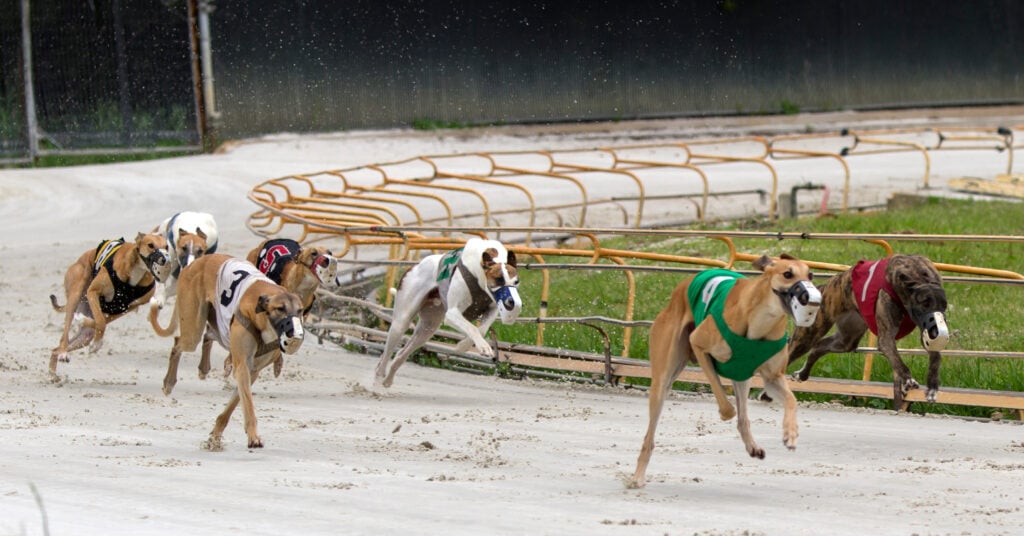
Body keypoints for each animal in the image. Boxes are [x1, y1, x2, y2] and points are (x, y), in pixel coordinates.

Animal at [48, 233, 169, 377]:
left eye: (167, 246)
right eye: (150, 245)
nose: (165, 259)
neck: (136, 272)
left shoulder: (124, 308)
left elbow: (101, 322)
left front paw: (93, 337)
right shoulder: (93, 292)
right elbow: (100, 321)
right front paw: (96, 344)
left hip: (86, 332)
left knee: (59, 346)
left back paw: (53, 373)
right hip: (76, 295)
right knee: (64, 336)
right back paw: (63, 353)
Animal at [149, 254, 305, 450]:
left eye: (300, 310)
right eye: (280, 308)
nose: (295, 333)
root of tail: (196, 262)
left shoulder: (252, 370)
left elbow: (233, 405)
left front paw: (215, 435)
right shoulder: (243, 365)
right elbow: (248, 404)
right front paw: (254, 437)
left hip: (218, 325)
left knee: (208, 335)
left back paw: (203, 367)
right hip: (193, 330)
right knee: (178, 343)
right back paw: (169, 382)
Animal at [374, 238, 520, 389]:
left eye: (516, 281)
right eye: (498, 279)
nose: (511, 302)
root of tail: (414, 267)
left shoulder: (492, 309)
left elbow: (482, 329)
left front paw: (464, 345)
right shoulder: (452, 314)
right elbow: (472, 328)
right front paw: (482, 347)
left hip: (428, 328)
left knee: (401, 353)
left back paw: (388, 380)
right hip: (401, 322)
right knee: (385, 356)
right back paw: (378, 381)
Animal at [622, 254, 823, 487]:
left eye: (810, 275)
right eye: (788, 274)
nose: (810, 297)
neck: (762, 320)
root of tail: (680, 288)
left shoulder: (773, 378)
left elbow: (791, 400)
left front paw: (790, 433)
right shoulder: (699, 345)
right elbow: (726, 406)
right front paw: (724, 412)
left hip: (742, 375)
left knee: (743, 417)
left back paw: (752, 446)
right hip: (663, 377)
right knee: (650, 435)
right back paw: (638, 476)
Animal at [786, 255, 946, 411]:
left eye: (943, 306)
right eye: (924, 304)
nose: (937, 329)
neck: (917, 275)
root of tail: (824, 287)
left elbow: (935, 356)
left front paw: (932, 387)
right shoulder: (886, 337)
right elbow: (898, 361)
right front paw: (908, 380)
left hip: (846, 339)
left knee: (819, 346)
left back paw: (802, 374)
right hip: (808, 334)